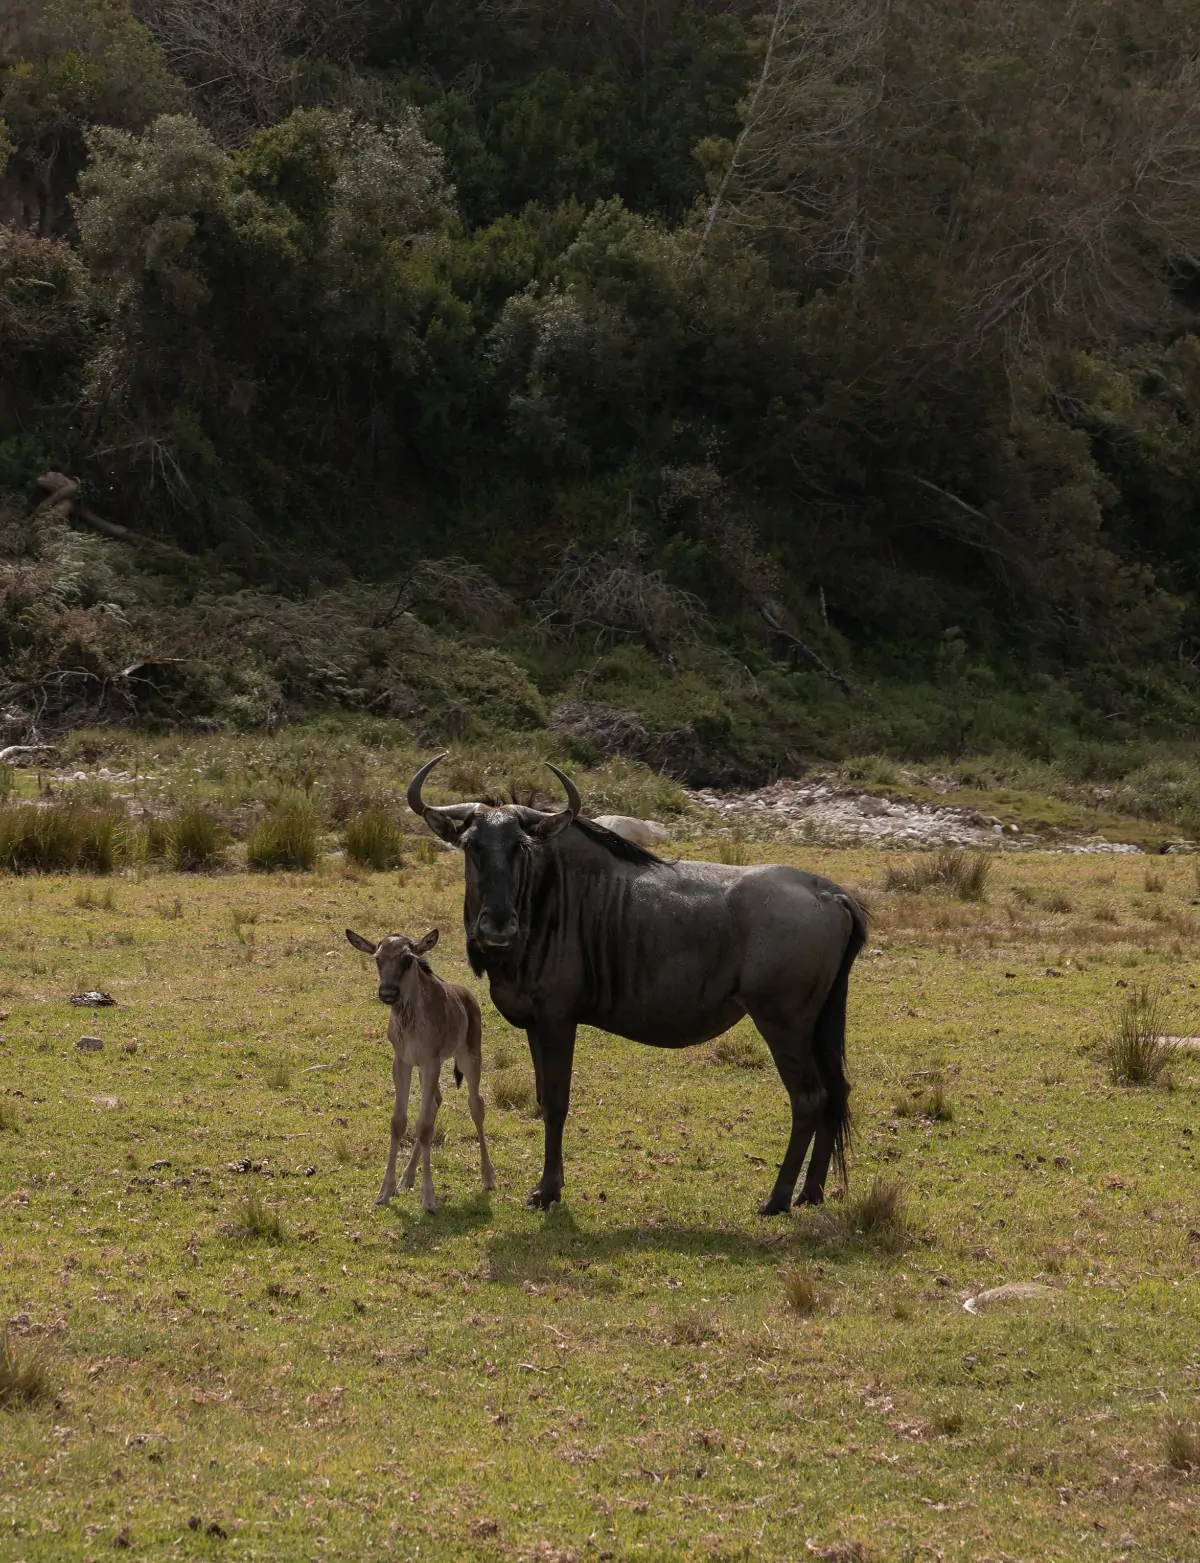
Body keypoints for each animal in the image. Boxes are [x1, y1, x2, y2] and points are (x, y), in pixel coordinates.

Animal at [343, 925, 493, 1206]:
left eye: (407, 959)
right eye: (377, 958)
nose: (388, 992)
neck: (411, 1026)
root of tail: (470, 998)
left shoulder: (431, 1060)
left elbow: (423, 1126)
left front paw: (429, 1198)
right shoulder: (403, 1060)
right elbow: (399, 1122)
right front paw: (385, 1191)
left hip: (470, 1055)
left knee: (476, 1105)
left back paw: (489, 1177)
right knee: (436, 1101)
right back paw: (407, 1176)